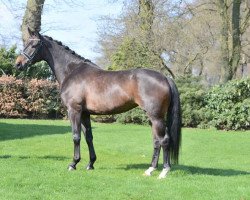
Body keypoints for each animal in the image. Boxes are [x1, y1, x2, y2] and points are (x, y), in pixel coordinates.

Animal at [15, 27, 182, 178]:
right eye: (26, 43)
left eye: (34, 45)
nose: (18, 64)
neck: (72, 71)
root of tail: (165, 77)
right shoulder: (85, 114)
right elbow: (88, 137)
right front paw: (90, 164)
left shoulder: (74, 110)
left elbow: (76, 136)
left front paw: (73, 164)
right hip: (153, 118)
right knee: (157, 141)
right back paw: (150, 169)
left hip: (156, 117)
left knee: (164, 140)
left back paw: (164, 171)